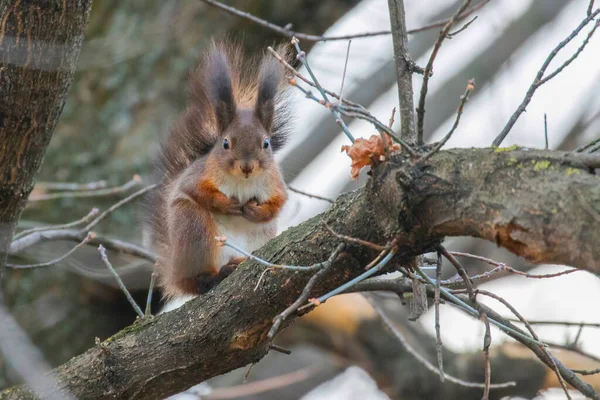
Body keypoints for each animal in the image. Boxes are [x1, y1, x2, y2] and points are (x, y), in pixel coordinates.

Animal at [149, 43, 292, 300]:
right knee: (197, 281)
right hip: (195, 231)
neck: (242, 182)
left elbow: (278, 203)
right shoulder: (198, 175)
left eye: (266, 143)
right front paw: (226, 204)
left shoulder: (275, 183)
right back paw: (215, 275)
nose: (247, 166)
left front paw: (255, 211)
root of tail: (175, 275)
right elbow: (194, 189)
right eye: (225, 143)